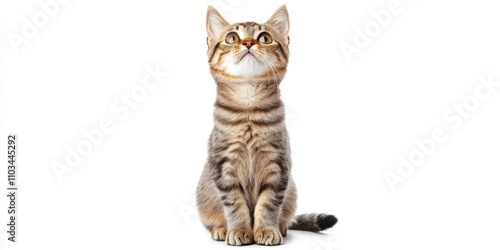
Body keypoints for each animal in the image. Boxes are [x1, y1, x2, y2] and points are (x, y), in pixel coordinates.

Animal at [195, 4, 336, 245]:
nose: (248, 42)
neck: (249, 109)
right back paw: (221, 228)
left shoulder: (277, 166)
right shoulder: (224, 168)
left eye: (264, 38)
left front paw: (266, 229)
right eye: (232, 38)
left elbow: (268, 204)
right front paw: (239, 230)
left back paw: (283, 227)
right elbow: (235, 205)